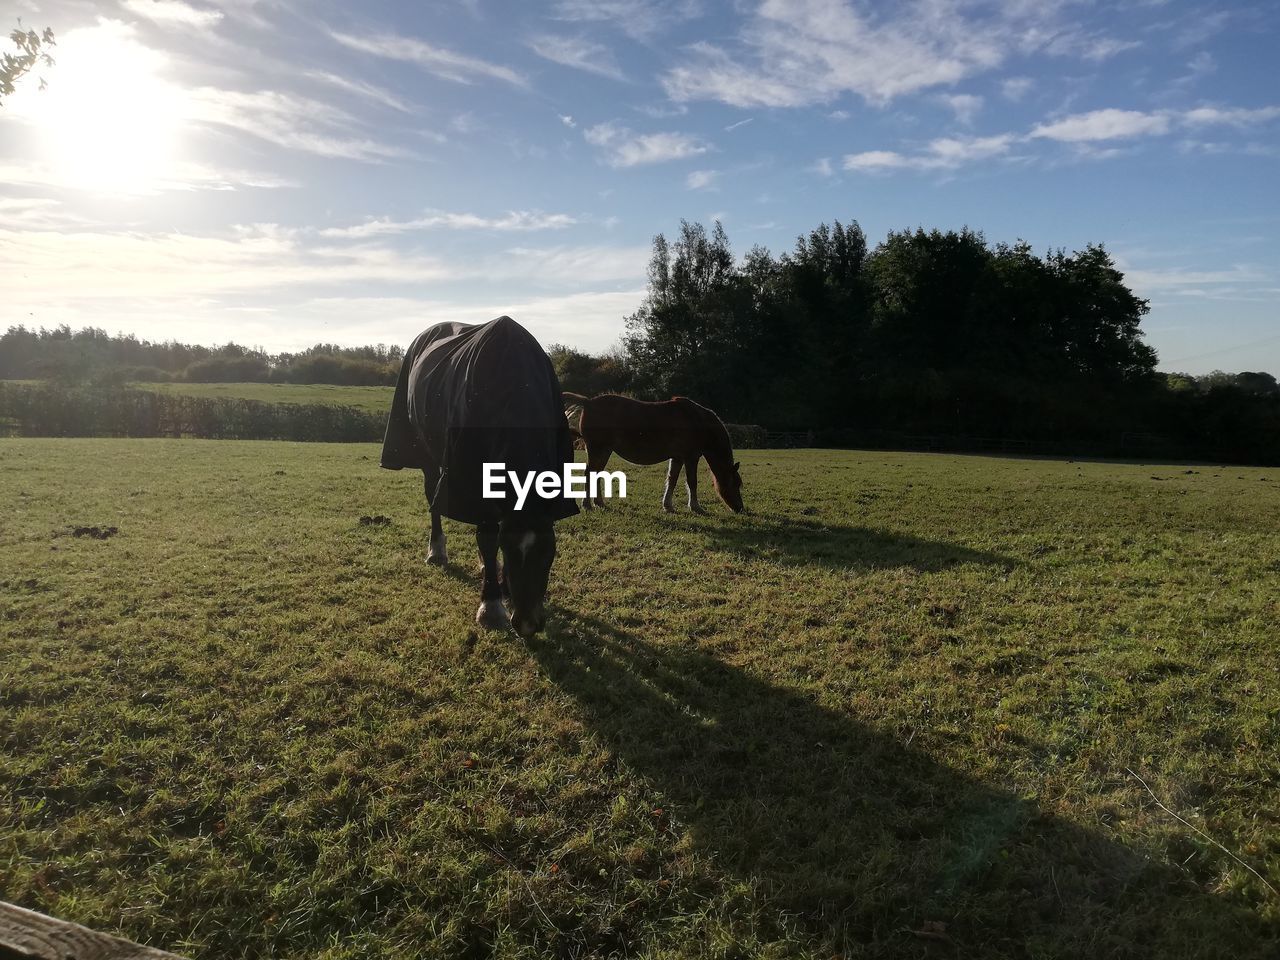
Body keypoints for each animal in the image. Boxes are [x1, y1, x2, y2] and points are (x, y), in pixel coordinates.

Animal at [378, 316, 581, 640]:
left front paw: (504, 587)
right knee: (433, 499)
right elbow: (486, 538)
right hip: (428, 457)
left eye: (550, 552)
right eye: (508, 548)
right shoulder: (474, 478)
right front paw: (492, 605)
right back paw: (437, 551)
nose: (527, 624)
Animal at [563, 391, 747, 514]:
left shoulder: (678, 458)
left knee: (596, 474)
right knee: (589, 474)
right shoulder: (691, 457)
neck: (698, 421)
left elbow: (672, 480)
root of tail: (588, 402)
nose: (740, 508)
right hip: (597, 449)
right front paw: (695, 507)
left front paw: (668, 505)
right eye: (735, 483)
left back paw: (599, 503)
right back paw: (587, 504)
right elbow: (692, 482)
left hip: (604, 451)